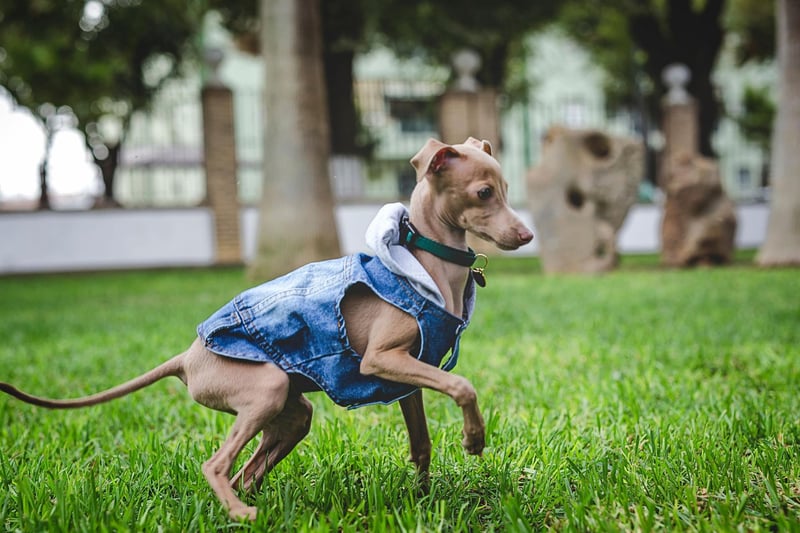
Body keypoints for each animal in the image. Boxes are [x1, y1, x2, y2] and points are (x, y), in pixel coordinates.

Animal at [3, 137, 536, 520]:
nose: (527, 235)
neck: (426, 265)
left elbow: (421, 444)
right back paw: (243, 513)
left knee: (246, 471)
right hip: (266, 389)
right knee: (216, 466)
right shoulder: (381, 360)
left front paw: (424, 501)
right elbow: (463, 385)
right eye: (483, 192)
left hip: (290, 412)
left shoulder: (410, 377)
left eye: (507, 188)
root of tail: (187, 356)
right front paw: (474, 440)